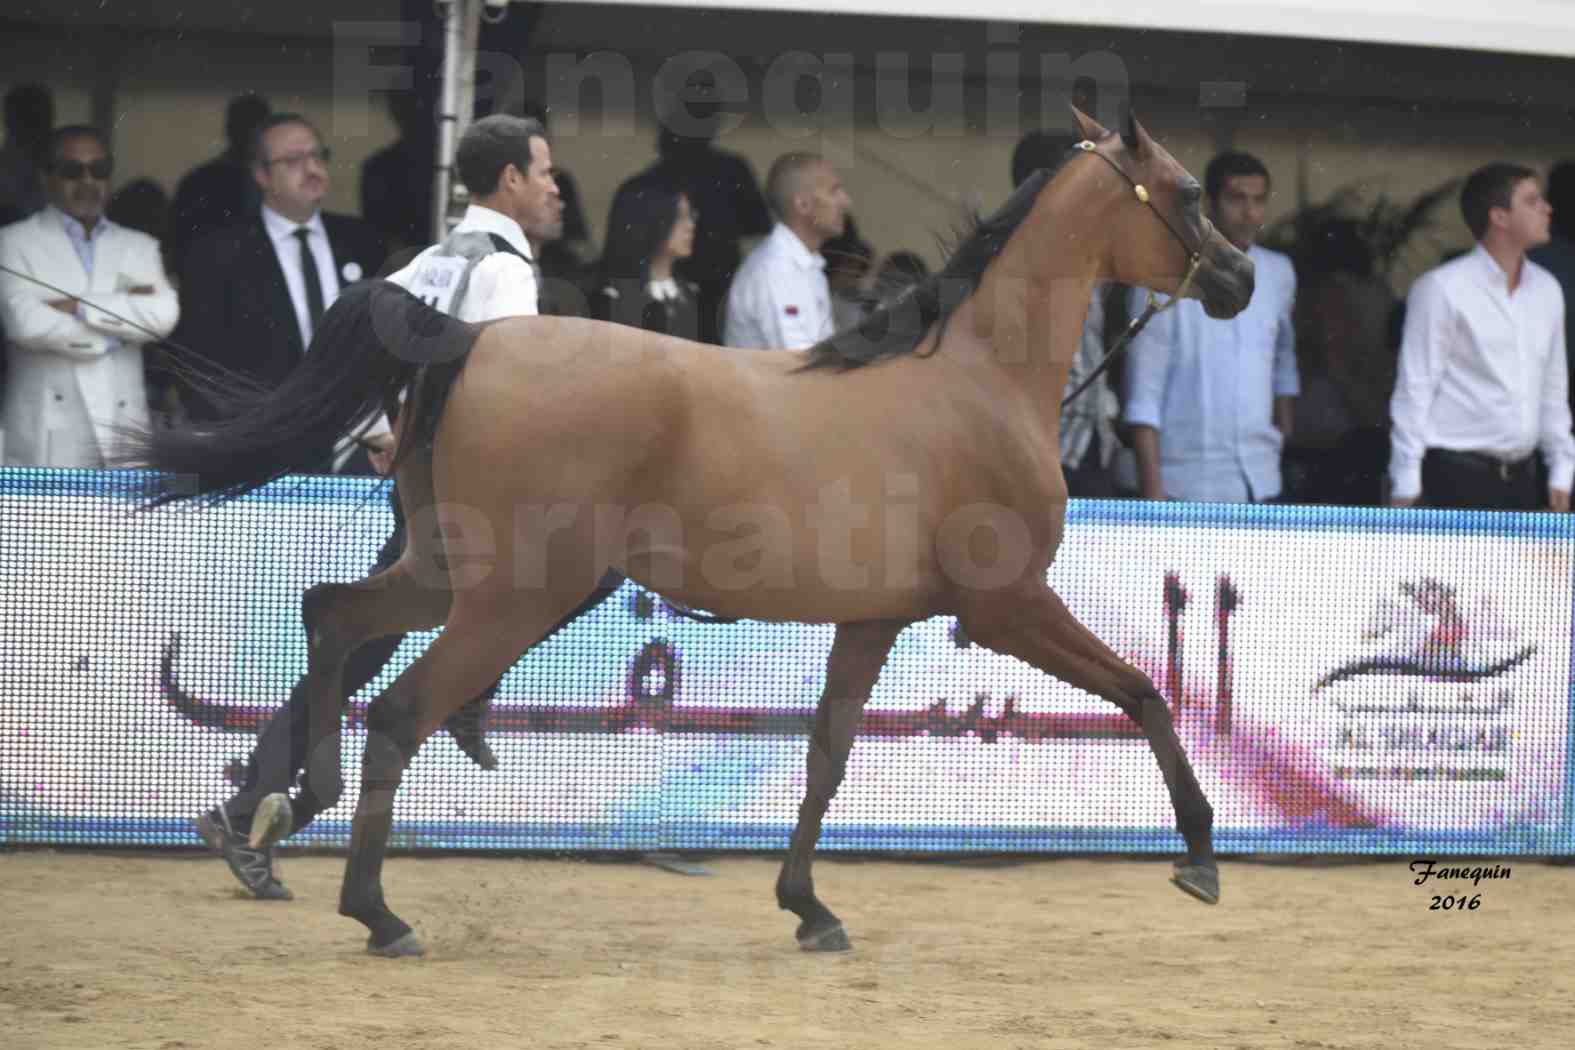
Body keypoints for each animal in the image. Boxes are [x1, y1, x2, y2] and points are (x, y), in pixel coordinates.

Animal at [122, 110, 1253, 957]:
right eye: (1188, 194)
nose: (1240, 280)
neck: (973, 381)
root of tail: (470, 337)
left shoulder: (873, 622)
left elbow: (828, 757)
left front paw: (808, 907)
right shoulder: (1007, 607)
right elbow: (1147, 695)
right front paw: (1199, 857)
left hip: (447, 572)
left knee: (334, 615)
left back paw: (278, 813)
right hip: (514, 596)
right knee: (399, 710)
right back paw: (376, 911)